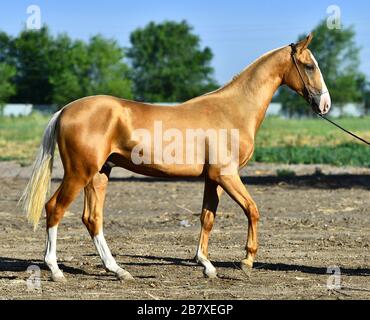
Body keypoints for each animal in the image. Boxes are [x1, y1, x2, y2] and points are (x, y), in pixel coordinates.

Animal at [21, 33, 330, 282]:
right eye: (310, 65)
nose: (325, 104)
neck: (232, 110)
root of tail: (65, 110)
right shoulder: (227, 175)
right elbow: (252, 210)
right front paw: (247, 261)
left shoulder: (213, 179)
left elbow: (207, 217)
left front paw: (206, 265)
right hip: (79, 173)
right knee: (54, 209)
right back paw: (56, 271)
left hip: (99, 175)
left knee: (92, 219)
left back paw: (119, 271)